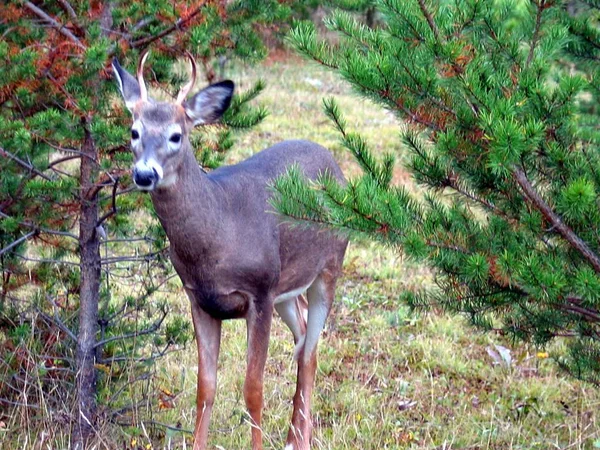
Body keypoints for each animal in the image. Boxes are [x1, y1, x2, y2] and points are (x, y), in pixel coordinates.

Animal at [112, 49, 346, 450]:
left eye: (176, 135)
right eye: (134, 131)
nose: (144, 174)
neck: (217, 236)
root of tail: (335, 164)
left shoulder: (259, 293)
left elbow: (253, 389)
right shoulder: (200, 299)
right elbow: (205, 387)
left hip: (328, 267)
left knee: (311, 351)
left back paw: (301, 439)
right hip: (286, 286)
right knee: (302, 335)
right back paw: (292, 437)